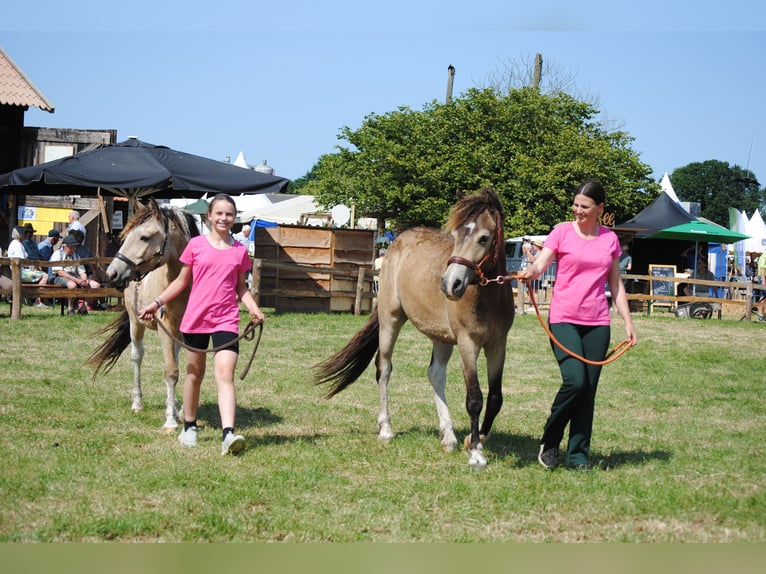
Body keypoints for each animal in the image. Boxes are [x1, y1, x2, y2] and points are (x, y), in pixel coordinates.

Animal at [87, 199, 200, 430]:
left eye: (144, 237)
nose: (112, 273)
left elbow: (186, 369)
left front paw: (182, 412)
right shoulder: (165, 329)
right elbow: (171, 372)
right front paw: (170, 420)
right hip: (135, 324)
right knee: (137, 357)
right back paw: (137, 403)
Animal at [314, 187, 515, 469]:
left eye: (484, 238)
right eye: (455, 235)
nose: (450, 284)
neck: (488, 297)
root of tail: (397, 242)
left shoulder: (498, 345)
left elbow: (496, 397)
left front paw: (474, 440)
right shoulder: (468, 344)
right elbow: (475, 398)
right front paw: (476, 452)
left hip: (442, 338)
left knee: (435, 374)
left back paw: (448, 437)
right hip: (391, 320)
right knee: (384, 368)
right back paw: (386, 429)